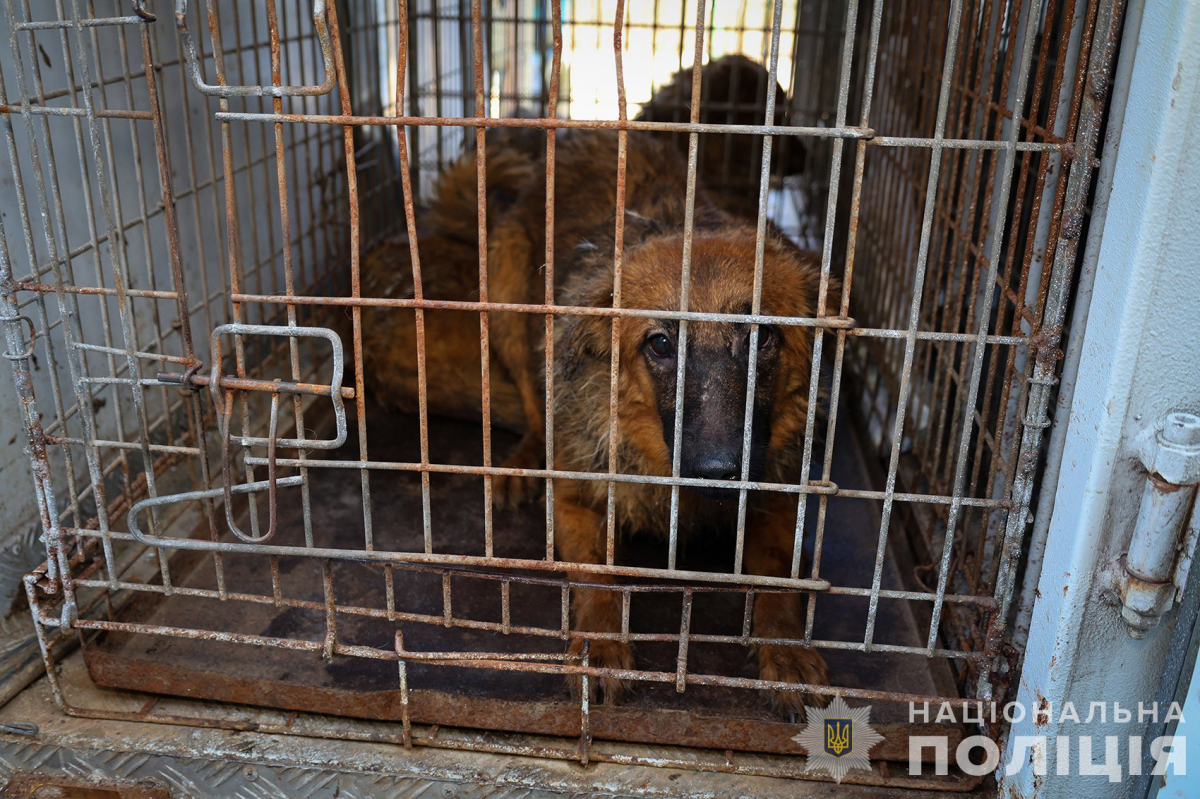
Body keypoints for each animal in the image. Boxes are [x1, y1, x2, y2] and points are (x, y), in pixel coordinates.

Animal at [362, 125, 835, 715]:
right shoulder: (577, 499)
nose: (719, 471)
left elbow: (778, 582)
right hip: (509, 289)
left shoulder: (780, 499)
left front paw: (786, 649)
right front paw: (601, 646)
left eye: (764, 338)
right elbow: (595, 576)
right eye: (660, 344)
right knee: (533, 399)